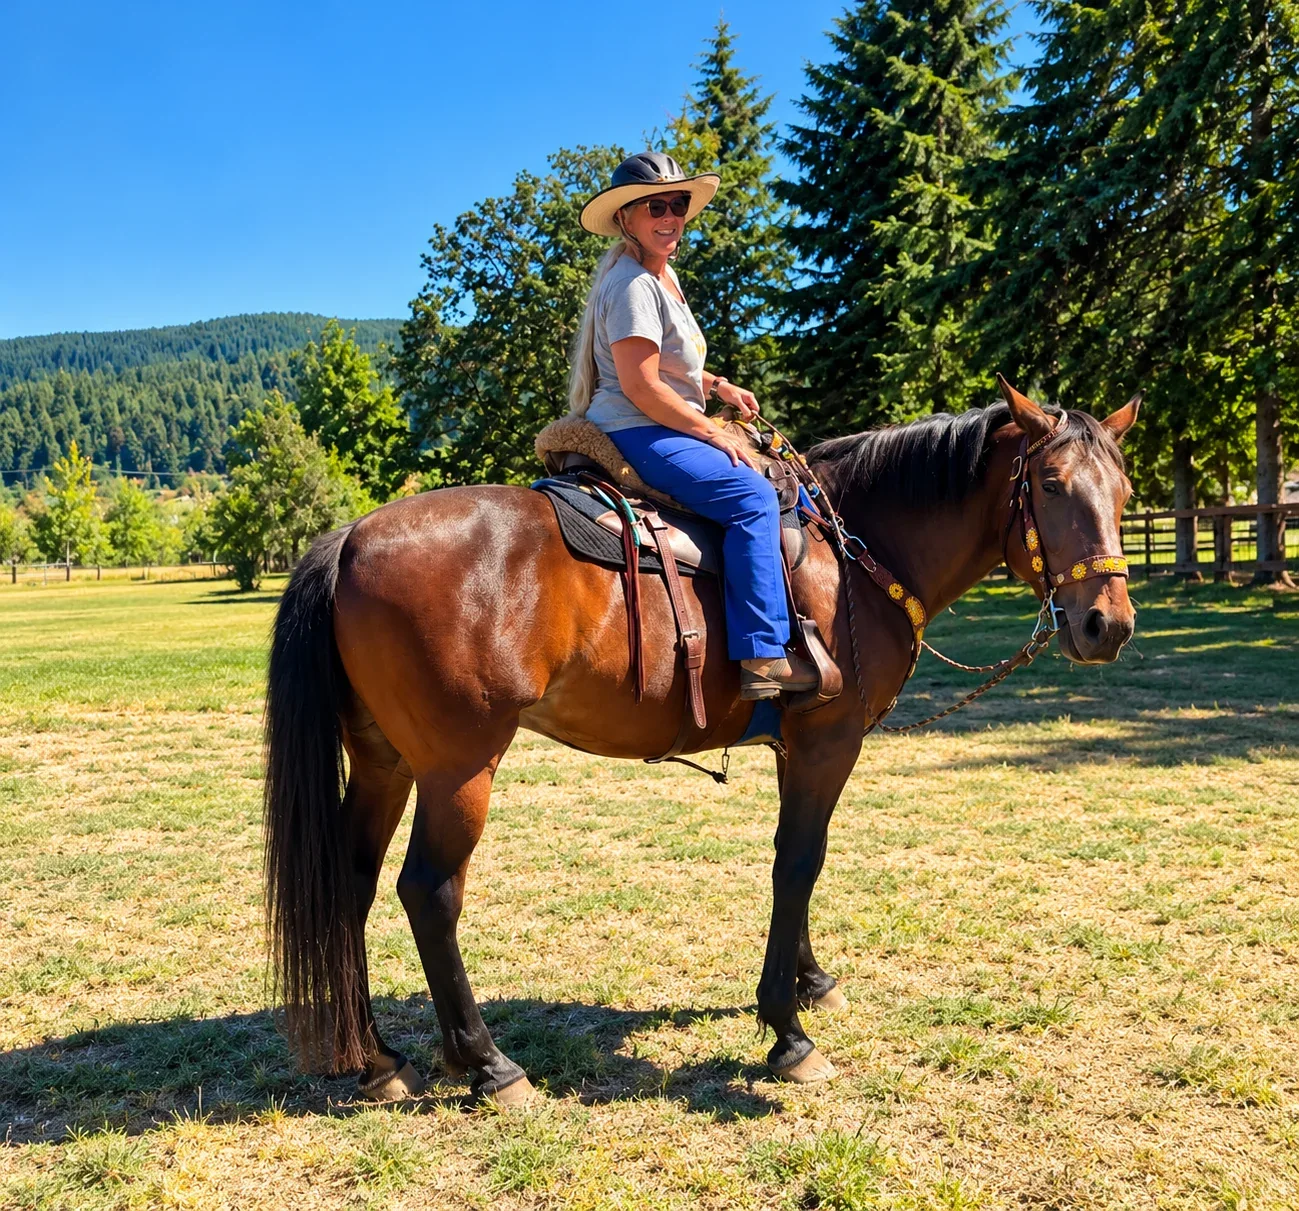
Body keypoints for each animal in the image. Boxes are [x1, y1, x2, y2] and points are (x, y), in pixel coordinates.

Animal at [263, 379, 1140, 1105]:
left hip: (386, 762)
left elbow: (796, 860)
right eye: (1052, 486)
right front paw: (787, 1031)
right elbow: (799, 862)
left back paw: (379, 1057)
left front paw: (808, 978)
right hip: (458, 767)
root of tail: (350, 536)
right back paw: (488, 1063)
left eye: (1125, 491)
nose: (1109, 624)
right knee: (429, 891)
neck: (853, 550)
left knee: (351, 883)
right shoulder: (828, 741)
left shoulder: (797, 747)